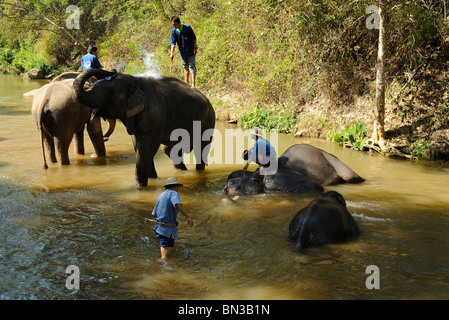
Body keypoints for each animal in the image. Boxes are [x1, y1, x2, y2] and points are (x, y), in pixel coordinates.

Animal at [72, 69, 215, 186]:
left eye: (109, 94)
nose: (112, 71)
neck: (136, 81)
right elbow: (138, 146)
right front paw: (152, 179)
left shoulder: (154, 115)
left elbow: (145, 148)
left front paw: (140, 187)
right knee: (169, 149)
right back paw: (183, 172)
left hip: (208, 119)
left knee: (200, 149)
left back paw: (197, 174)